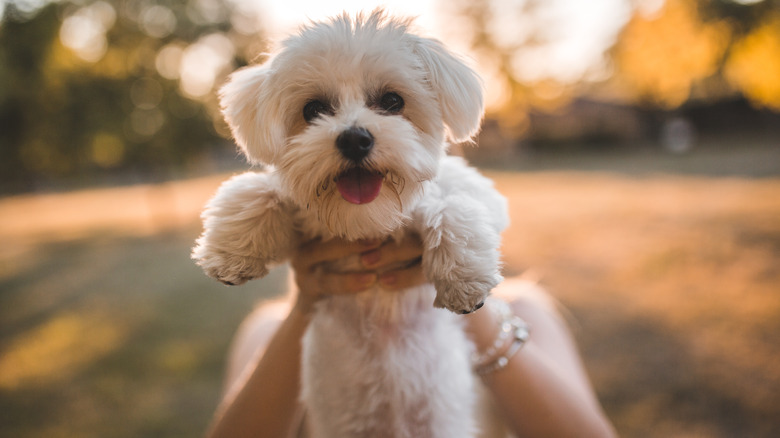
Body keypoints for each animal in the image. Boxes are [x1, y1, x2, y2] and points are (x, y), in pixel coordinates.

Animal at [193, 10, 512, 438]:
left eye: (392, 101)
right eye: (313, 109)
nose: (355, 138)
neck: (367, 222)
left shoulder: (479, 194)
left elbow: (451, 205)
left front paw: (464, 279)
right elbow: (260, 191)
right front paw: (230, 252)